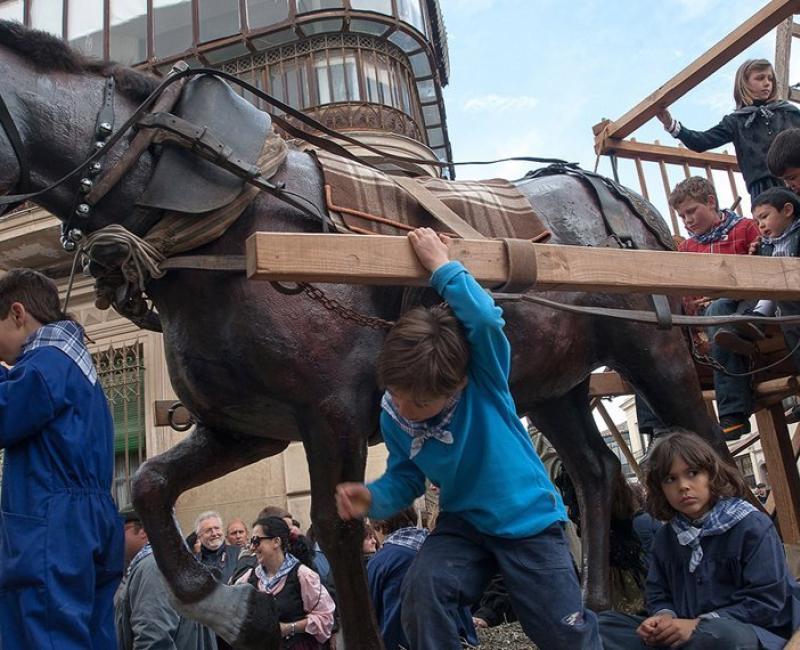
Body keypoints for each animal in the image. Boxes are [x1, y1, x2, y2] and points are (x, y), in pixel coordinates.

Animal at [0, 20, 724, 648]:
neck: (225, 216)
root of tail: (612, 191)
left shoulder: (332, 411)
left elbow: (336, 532)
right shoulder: (248, 425)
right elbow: (151, 484)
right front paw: (234, 609)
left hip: (655, 350)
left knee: (702, 442)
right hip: (554, 383)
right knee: (595, 470)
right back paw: (594, 607)